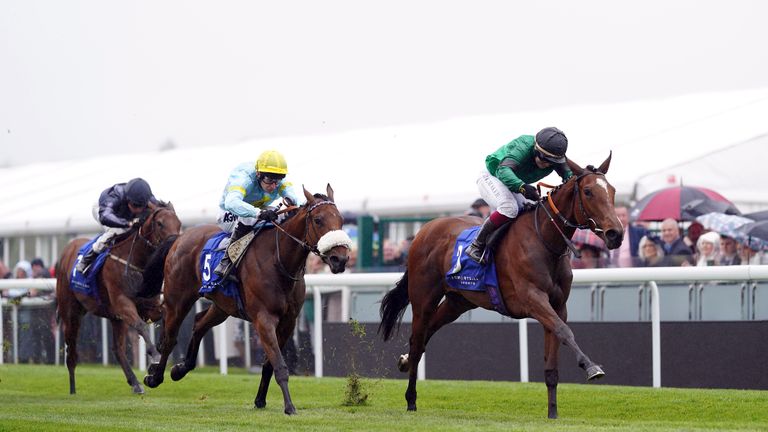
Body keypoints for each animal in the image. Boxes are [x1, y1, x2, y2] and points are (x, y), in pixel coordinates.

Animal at [55, 202, 182, 394]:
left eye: (179, 223)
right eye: (160, 223)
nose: (174, 244)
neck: (137, 262)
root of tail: (68, 250)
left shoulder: (149, 306)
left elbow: (164, 317)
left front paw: (162, 347)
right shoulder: (123, 302)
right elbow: (140, 326)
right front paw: (155, 355)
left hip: (116, 318)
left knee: (117, 348)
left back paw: (135, 383)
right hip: (71, 313)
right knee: (72, 352)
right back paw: (72, 390)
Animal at [140, 185, 348, 416]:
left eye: (340, 220)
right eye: (318, 220)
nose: (340, 259)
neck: (278, 261)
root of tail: (179, 237)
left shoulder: (288, 322)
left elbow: (269, 364)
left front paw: (260, 400)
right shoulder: (264, 319)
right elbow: (279, 364)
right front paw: (289, 406)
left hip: (222, 306)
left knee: (199, 323)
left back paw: (180, 369)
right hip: (177, 300)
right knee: (169, 338)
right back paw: (154, 376)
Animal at [378, 154, 624, 418]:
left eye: (612, 190)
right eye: (588, 192)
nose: (616, 234)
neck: (545, 240)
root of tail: (424, 231)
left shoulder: (558, 306)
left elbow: (553, 358)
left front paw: (553, 413)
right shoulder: (532, 298)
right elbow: (564, 330)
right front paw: (592, 367)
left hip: (458, 302)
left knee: (424, 337)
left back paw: (404, 362)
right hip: (423, 298)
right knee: (418, 340)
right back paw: (411, 399)